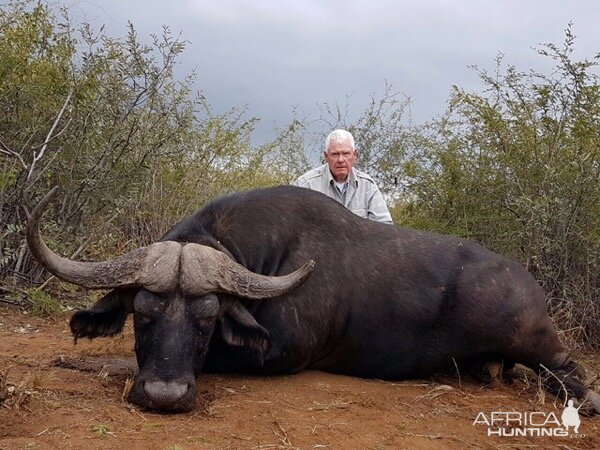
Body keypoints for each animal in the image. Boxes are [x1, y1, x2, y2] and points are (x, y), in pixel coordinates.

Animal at [27, 185, 600, 414]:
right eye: (141, 315)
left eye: (207, 320)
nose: (164, 395)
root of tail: (526, 282)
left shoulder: (277, 355)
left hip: (540, 346)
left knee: (569, 371)